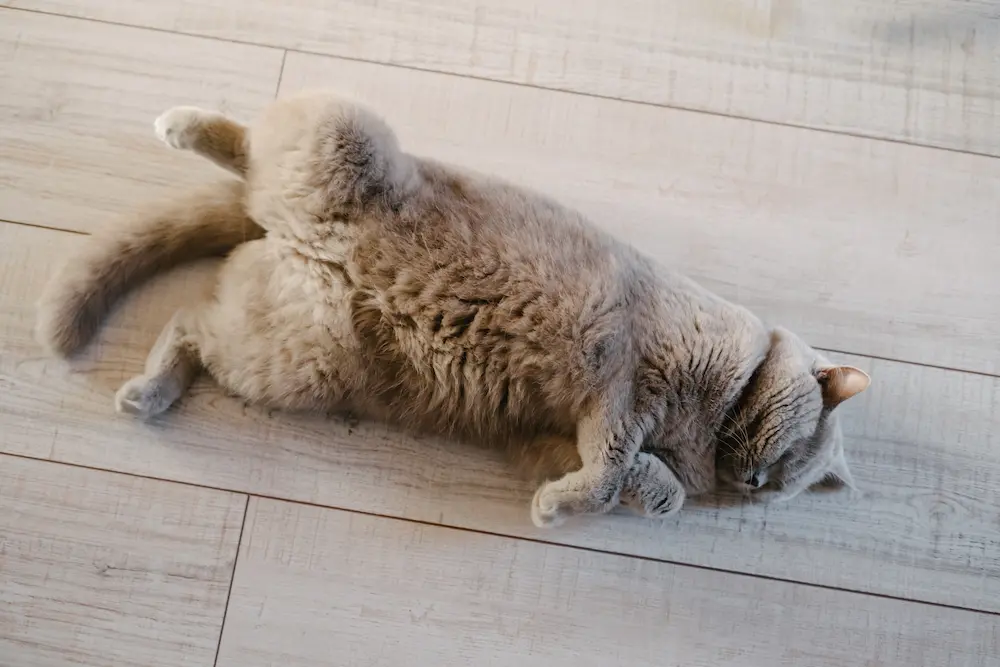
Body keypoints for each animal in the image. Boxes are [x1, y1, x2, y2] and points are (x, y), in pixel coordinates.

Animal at [35, 91, 872, 528]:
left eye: (785, 481)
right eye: (791, 456)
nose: (754, 484)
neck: (714, 414)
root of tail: (276, 231)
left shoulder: (557, 437)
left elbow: (637, 483)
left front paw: (599, 496)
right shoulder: (627, 383)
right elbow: (610, 468)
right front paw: (562, 506)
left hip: (296, 354)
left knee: (190, 321)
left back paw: (151, 390)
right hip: (347, 142)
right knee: (249, 146)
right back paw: (180, 125)